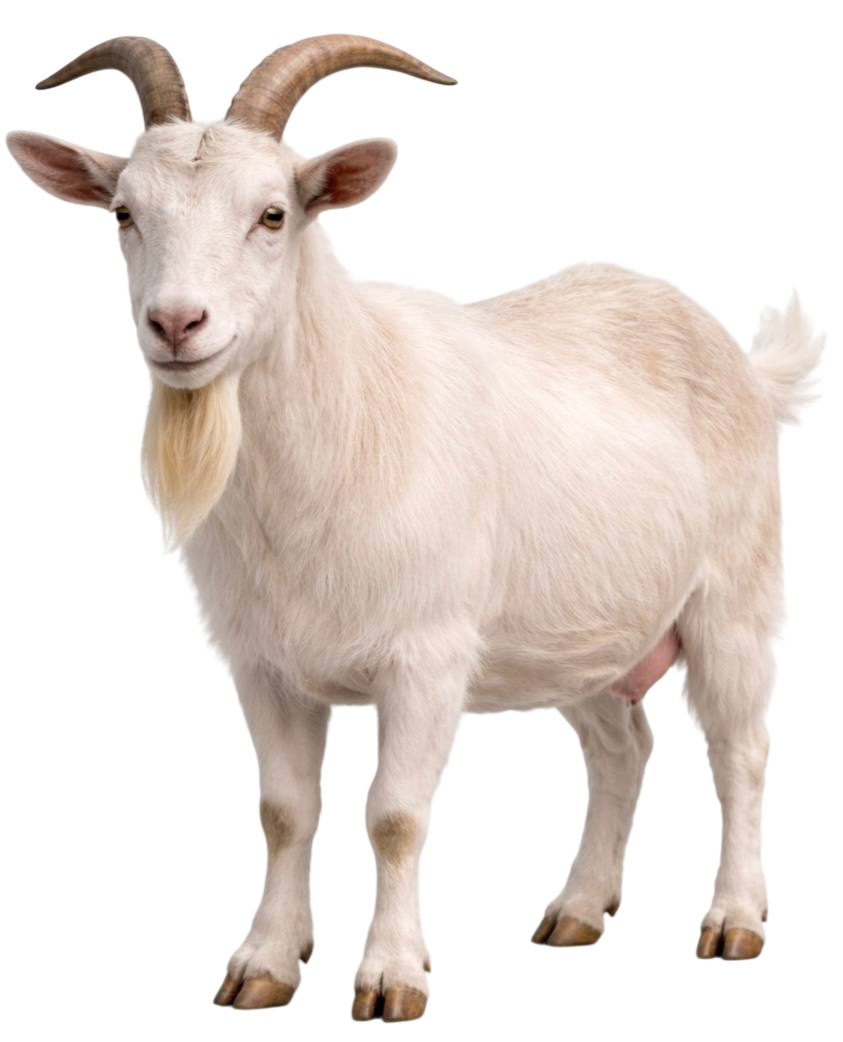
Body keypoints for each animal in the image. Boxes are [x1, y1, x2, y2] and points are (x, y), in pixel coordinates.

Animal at [5, 33, 827, 1020]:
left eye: (273, 214)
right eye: (123, 214)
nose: (175, 324)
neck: (348, 415)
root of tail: (747, 368)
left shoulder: (424, 661)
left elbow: (394, 816)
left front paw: (391, 978)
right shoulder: (263, 666)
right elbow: (284, 812)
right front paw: (263, 966)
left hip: (733, 604)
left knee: (739, 748)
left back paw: (733, 922)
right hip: (578, 636)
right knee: (621, 747)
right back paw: (576, 911)